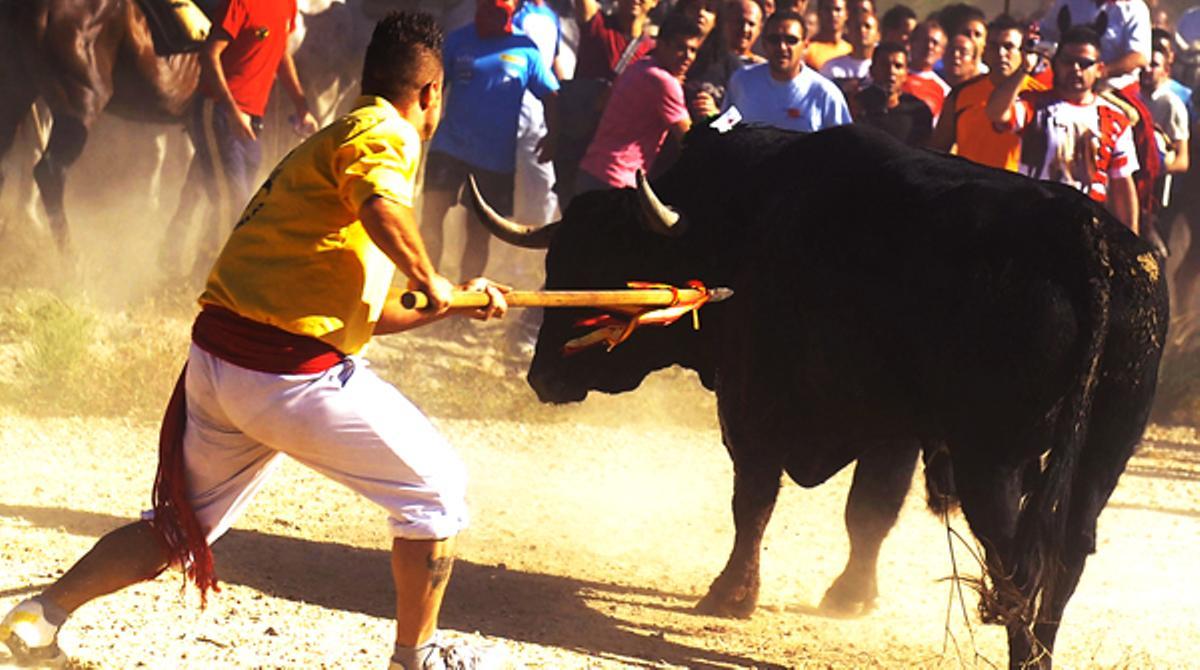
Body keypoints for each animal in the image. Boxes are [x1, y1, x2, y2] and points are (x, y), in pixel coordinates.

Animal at [472, 123, 1166, 667]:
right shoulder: (892, 428)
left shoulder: (752, 406)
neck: (742, 218)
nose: (543, 376)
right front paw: (851, 595)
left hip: (991, 462)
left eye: (604, 261)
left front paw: (730, 594)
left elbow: (753, 500)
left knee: (1018, 564)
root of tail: (1087, 237)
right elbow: (869, 512)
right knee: (1065, 557)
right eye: (556, 261)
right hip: (1099, 461)